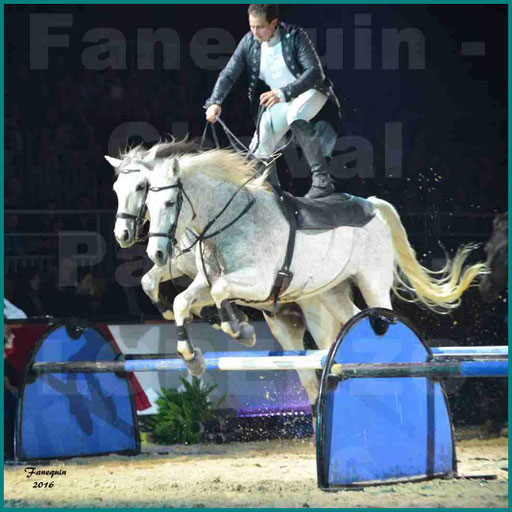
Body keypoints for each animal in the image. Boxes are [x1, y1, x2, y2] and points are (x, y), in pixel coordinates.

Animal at [144, 147, 488, 376]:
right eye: (147, 203)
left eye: (170, 202)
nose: (156, 255)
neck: (231, 221)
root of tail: (372, 205)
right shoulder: (208, 281)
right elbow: (182, 301)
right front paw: (191, 357)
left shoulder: (259, 283)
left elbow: (219, 293)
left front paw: (241, 331)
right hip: (332, 292)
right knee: (354, 319)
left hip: (372, 282)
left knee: (386, 318)